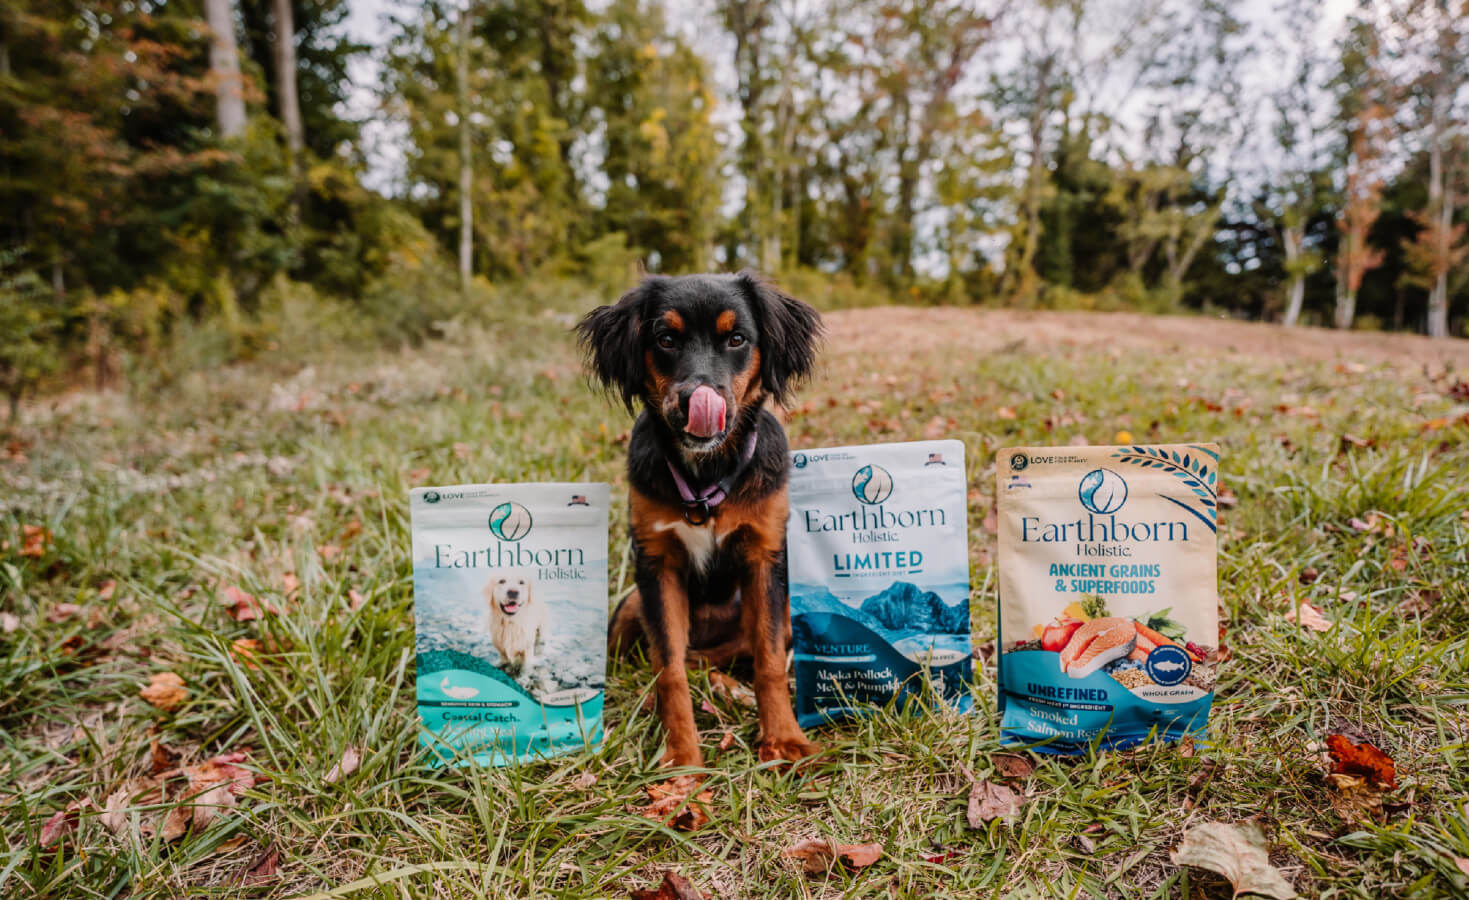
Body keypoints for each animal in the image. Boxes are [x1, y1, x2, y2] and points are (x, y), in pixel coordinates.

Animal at [575, 268, 828, 763]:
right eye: (666, 339)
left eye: (737, 339)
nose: (698, 397)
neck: (708, 471)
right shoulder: (657, 564)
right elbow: (668, 669)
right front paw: (680, 758)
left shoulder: (764, 555)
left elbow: (769, 660)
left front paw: (783, 738)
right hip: (631, 603)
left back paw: (731, 688)